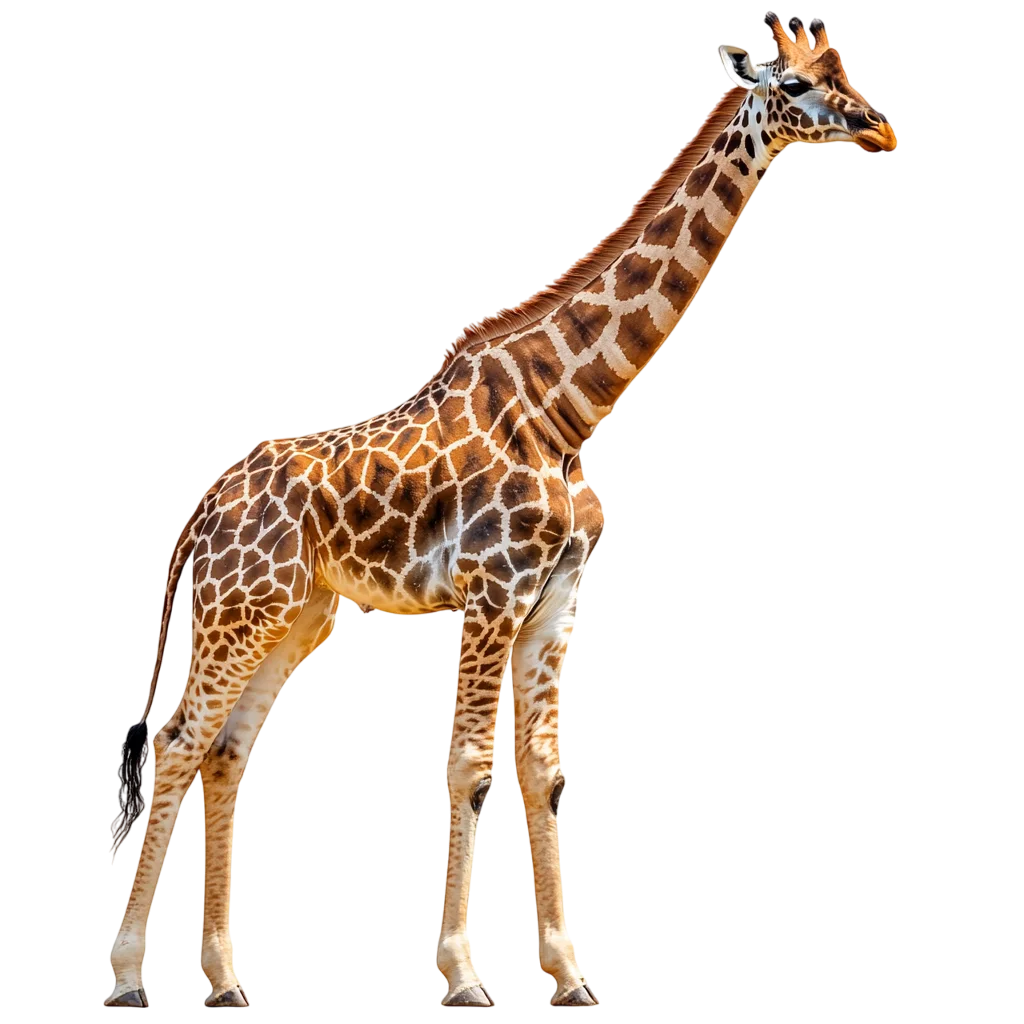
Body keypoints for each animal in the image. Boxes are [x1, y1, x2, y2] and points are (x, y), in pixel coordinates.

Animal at [105, 12, 898, 1009]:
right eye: (793, 88)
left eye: (845, 73)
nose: (882, 131)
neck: (570, 406)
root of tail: (200, 513)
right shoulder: (490, 594)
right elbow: (472, 772)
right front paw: (462, 978)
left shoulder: (557, 603)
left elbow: (543, 775)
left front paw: (569, 975)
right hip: (235, 612)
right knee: (176, 746)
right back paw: (128, 974)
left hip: (296, 616)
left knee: (224, 752)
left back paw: (225, 980)